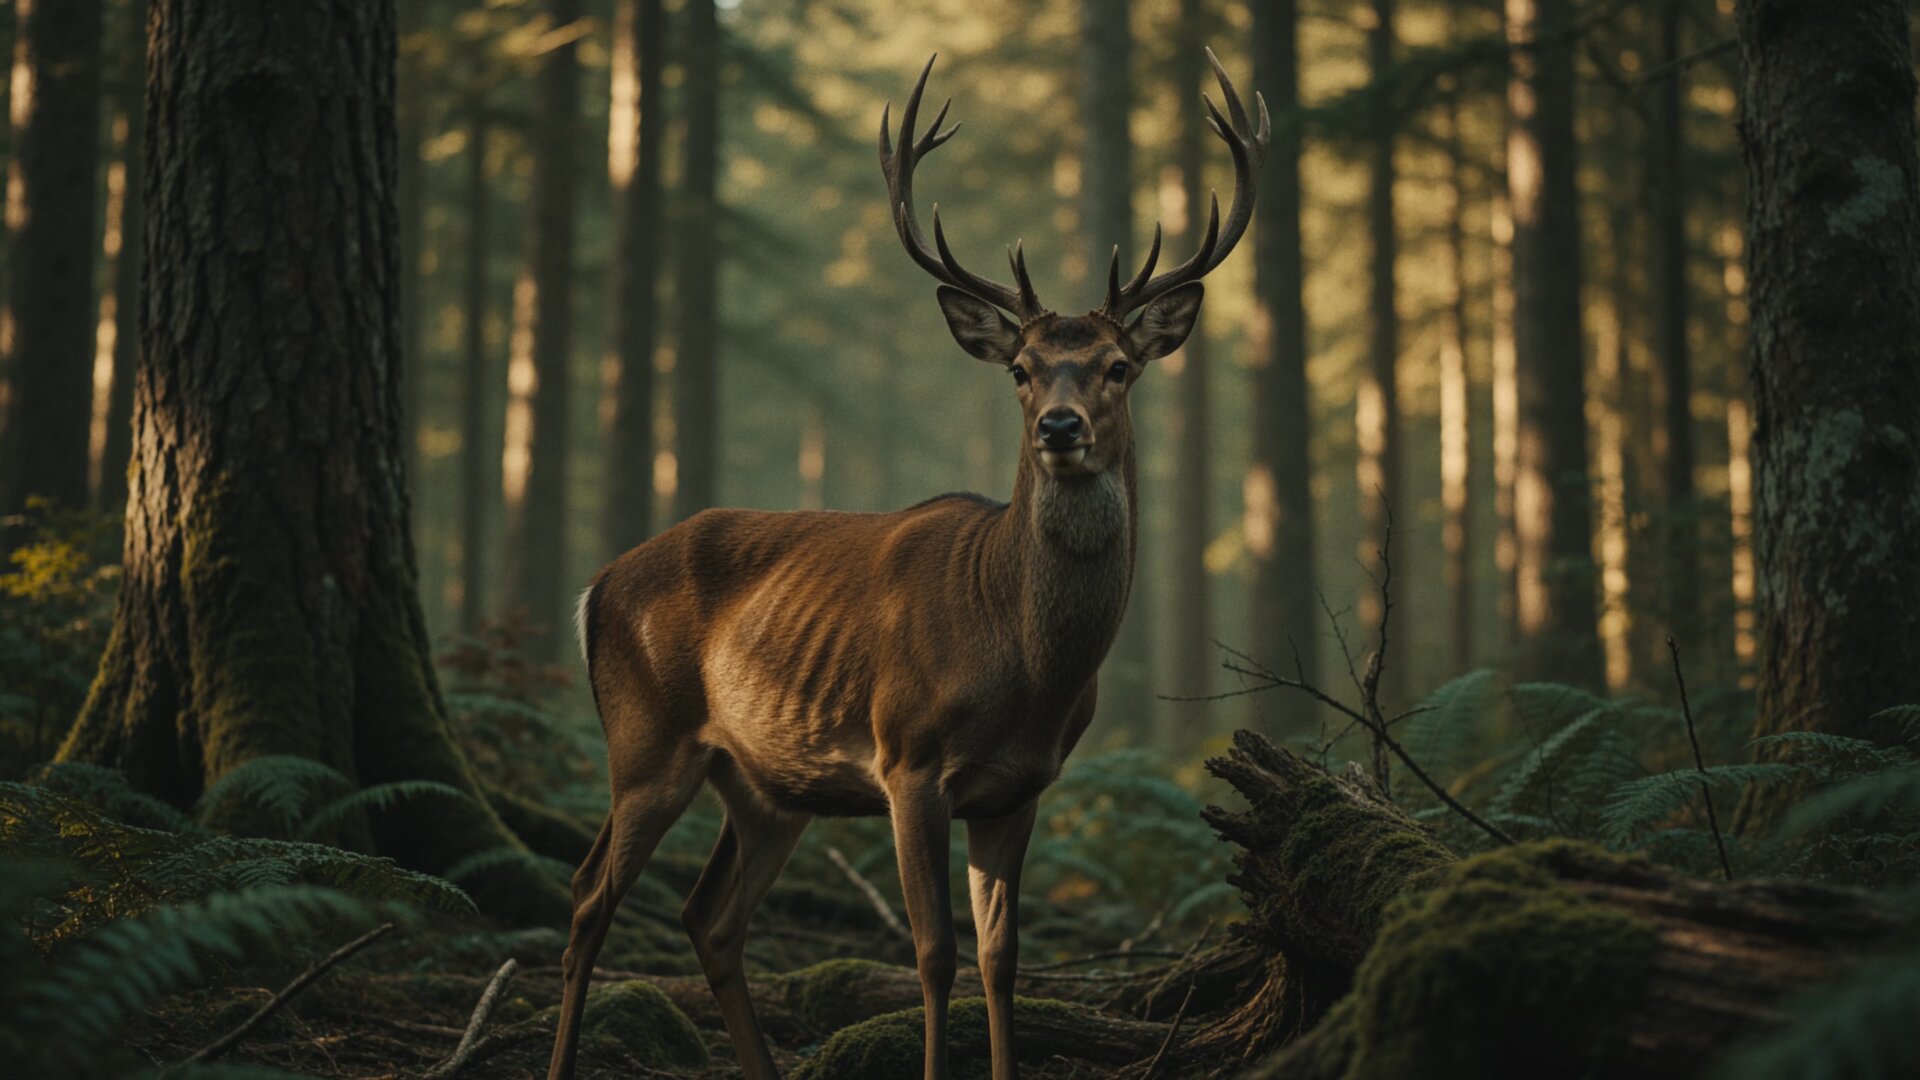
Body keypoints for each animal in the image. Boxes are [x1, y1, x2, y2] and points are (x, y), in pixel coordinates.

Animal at [547, 50, 1266, 1080]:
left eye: (1120, 365)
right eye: (1020, 370)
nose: (1060, 427)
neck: (1027, 662)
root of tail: (597, 586)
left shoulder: (1023, 784)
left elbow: (1004, 958)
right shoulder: (908, 757)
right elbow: (934, 954)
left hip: (766, 783)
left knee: (708, 915)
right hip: (646, 737)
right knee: (586, 893)